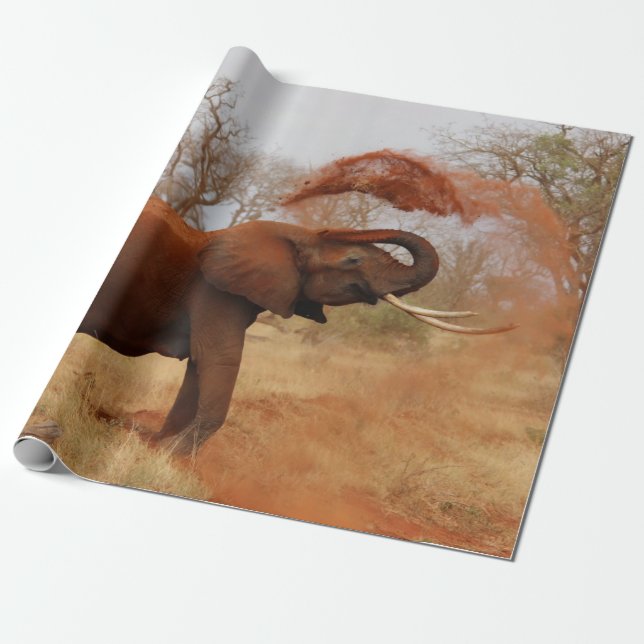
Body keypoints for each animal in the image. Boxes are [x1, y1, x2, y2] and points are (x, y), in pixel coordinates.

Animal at [78, 196, 513, 455]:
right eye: (353, 261)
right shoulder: (219, 293)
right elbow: (219, 360)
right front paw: (173, 455)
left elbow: (202, 367)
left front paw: (156, 447)